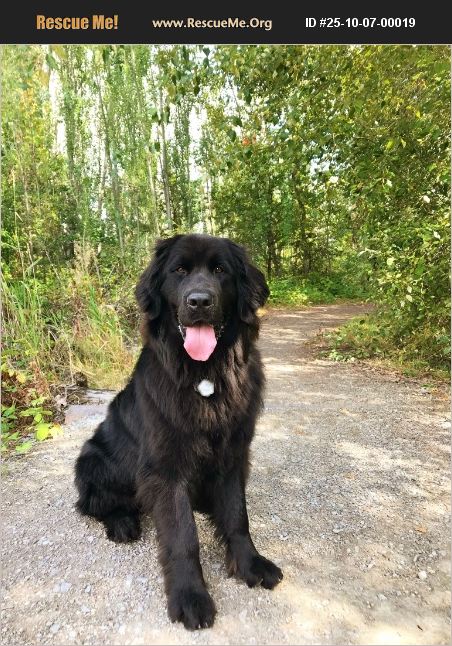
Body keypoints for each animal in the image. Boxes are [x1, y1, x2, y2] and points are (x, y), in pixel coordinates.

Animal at [74, 233, 283, 629]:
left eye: (220, 270)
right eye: (179, 271)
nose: (199, 301)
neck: (205, 376)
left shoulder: (234, 455)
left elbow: (237, 516)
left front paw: (250, 564)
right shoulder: (165, 470)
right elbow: (182, 536)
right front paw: (190, 596)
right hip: (91, 458)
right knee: (92, 503)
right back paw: (122, 522)